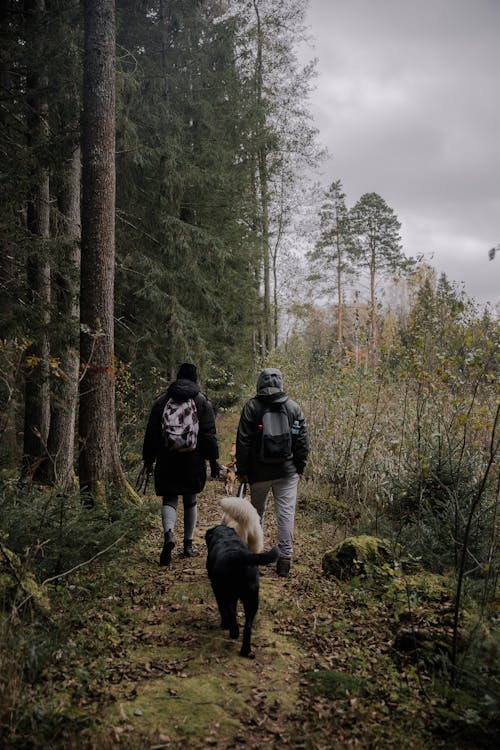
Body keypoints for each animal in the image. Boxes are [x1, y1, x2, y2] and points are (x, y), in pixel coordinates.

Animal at [205, 524, 280, 656]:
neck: (226, 536)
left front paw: (224, 625)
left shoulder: (217, 589)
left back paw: (234, 632)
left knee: (229, 611)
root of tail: (239, 556)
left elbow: (223, 609)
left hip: (228, 593)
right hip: (252, 599)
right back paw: (245, 650)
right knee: (248, 626)